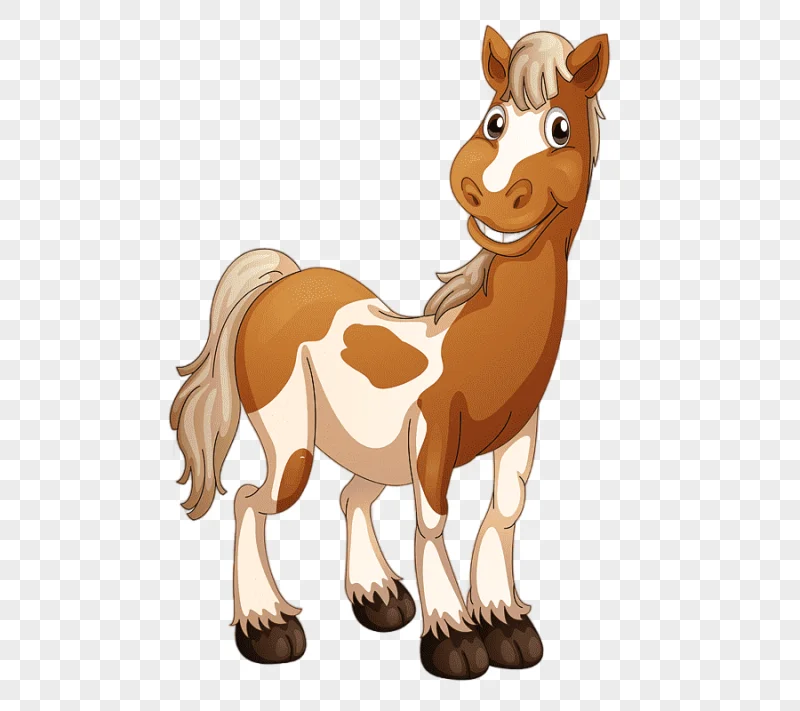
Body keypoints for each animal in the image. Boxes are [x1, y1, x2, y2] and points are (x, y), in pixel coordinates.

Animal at [170, 27, 609, 680]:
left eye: (561, 128)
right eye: (495, 120)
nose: (489, 193)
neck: (478, 336)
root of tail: (281, 283)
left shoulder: (517, 435)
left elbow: (503, 512)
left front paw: (506, 624)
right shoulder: (432, 439)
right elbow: (434, 520)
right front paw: (454, 639)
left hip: (370, 449)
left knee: (351, 495)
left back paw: (376, 597)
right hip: (293, 442)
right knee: (251, 500)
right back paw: (268, 627)